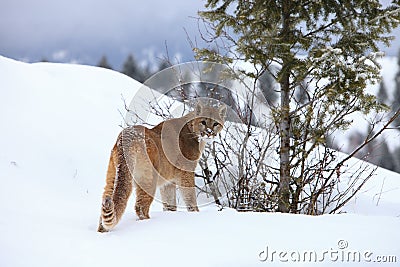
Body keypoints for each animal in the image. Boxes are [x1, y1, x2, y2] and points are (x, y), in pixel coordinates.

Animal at [97, 102, 225, 232]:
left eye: (215, 123)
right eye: (203, 122)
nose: (209, 132)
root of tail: (127, 136)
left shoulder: (168, 182)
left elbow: (169, 203)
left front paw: (170, 213)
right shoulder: (186, 172)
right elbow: (190, 196)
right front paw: (195, 213)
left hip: (113, 175)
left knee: (107, 202)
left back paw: (102, 231)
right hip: (148, 178)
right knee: (140, 206)